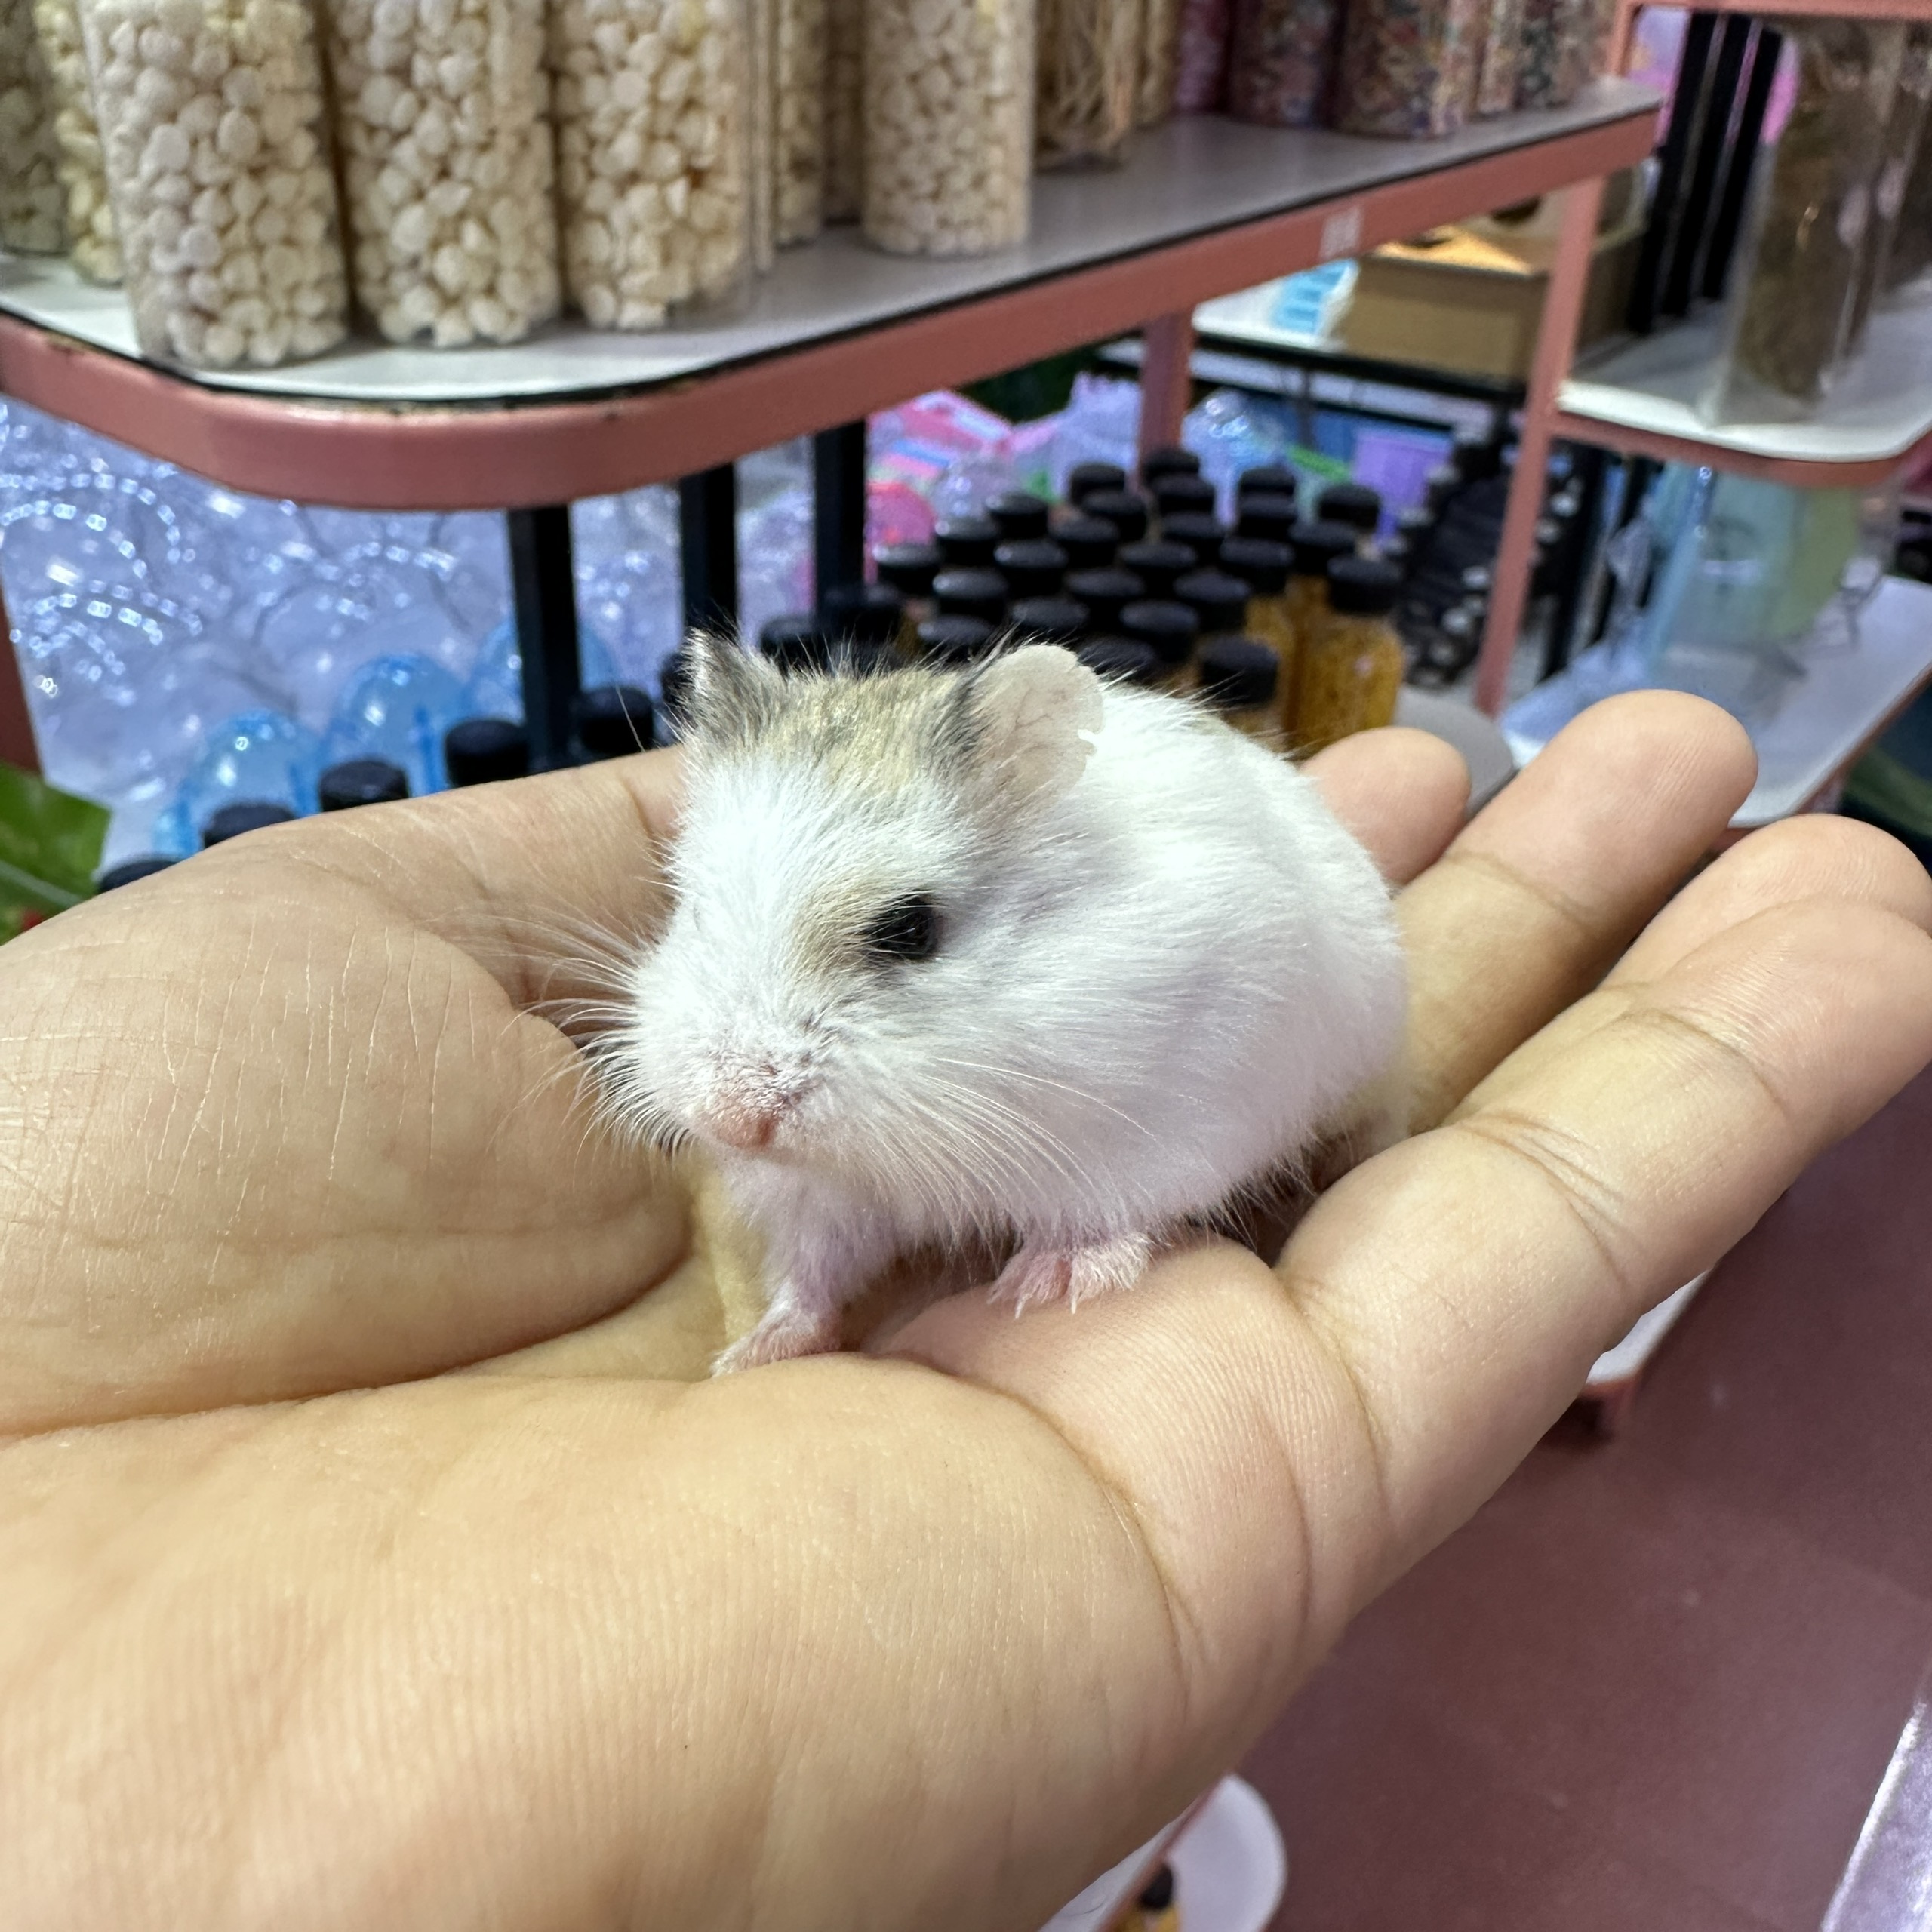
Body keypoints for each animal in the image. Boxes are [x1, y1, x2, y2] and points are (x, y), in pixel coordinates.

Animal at [612, 634, 1407, 1373]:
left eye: (911, 930)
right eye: (693, 911)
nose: (734, 1121)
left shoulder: (1158, 1129)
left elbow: (1110, 1210)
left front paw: (1053, 1281)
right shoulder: (823, 1199)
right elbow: (814, 1274)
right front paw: (751, 1353)